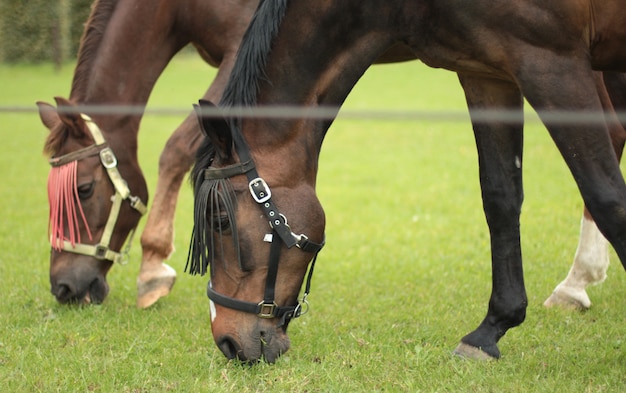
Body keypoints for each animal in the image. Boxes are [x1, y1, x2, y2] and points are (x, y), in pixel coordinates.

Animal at [37, 0, 258, 306]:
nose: (63, 287)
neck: (179, 8)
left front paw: (152, 268)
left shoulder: (242, 49)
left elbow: (176, 148)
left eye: (84, 189)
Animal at [188, 0, 624, 362]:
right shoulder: (487, 74)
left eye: (220, 221)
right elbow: (500, 197)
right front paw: (490, 330)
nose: (227, 342)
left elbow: (607, 197)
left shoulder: (550, 62)